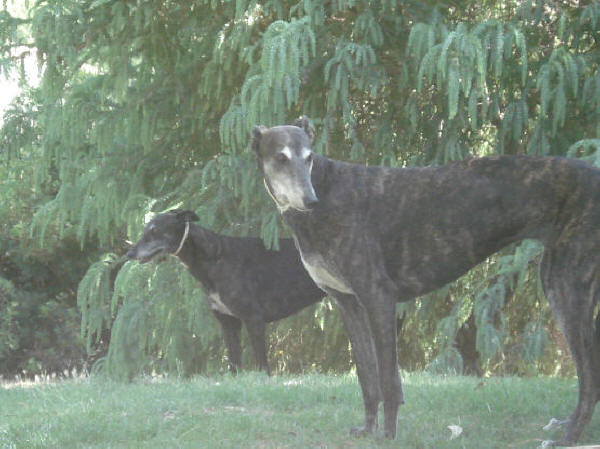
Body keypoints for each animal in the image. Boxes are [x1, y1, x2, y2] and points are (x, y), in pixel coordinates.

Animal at [126, 209, 325, 375]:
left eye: (155, 231)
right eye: (144, 230)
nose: (129, 254)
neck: (216, 257)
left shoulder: (253, 319)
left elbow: (262, 364)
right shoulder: (228, 322)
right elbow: (234, 365)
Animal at [251, 117, 600, 446]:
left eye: (308, 157)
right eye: (280, 157)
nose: (310, 201)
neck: (327, 188)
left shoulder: (379, 298)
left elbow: (388, 381)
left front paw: (388, 435)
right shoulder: (347, 303)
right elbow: (367, 379)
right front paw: (367, 429)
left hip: (566, 288)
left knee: (589, 377)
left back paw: (569, 438)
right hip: (559, 283)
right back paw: (566, 426)